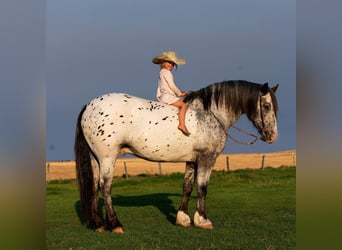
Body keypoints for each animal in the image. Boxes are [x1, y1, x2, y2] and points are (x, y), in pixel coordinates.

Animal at [74, 79, 278, 232]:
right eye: (267, 106)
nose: (272, 136)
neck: (209, 114)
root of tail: (89, 105)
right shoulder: (207, 159)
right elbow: (202, 188)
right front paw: (203, 220)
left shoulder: (192, 160)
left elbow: (187, 187)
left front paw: (183, 218)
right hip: (107, 158)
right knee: (105, 187)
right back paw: (115, 224)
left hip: (97, 160)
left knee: (94, 187)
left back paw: (98, 224)